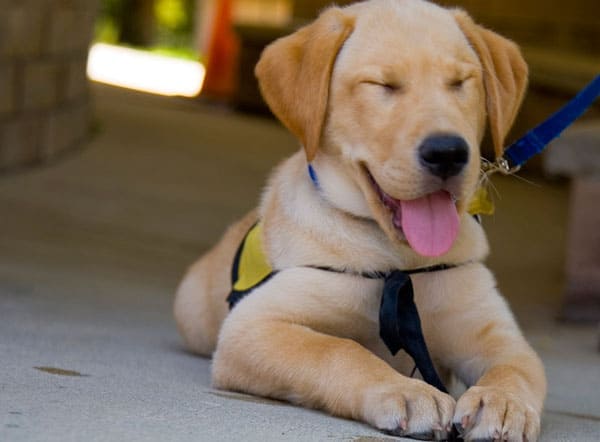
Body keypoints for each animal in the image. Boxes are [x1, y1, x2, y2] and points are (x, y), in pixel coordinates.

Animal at [172, 1, 544, 440]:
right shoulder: (254, 325)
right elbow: (338, 349)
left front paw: (503, 403)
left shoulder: (494, 332)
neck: (400, 263)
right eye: (382, 85)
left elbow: (517, 368)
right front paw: (404, 391)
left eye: (460, 82)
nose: (448, 153)